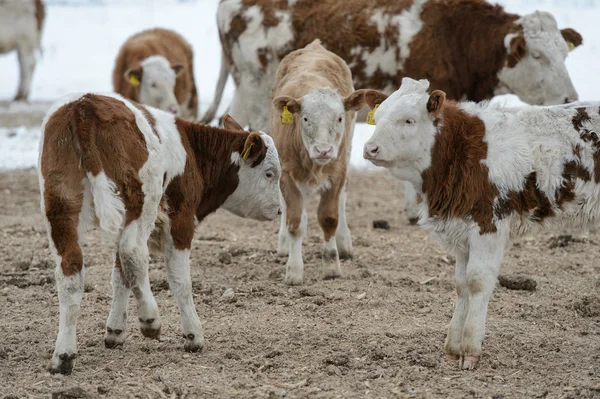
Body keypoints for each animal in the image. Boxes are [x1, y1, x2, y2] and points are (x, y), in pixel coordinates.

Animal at [38, 93, 282, 376]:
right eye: (269, 173)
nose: (279, 209)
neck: (192, 151)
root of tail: (84, 106)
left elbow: (120, 276)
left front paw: (115, 331)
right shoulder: (181, 220)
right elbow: (179, 279)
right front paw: (193, 335)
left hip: (60, 204)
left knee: (72, 270)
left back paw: (64, 355)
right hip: (141, 199)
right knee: (132, 252)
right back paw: (150, 319)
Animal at [272, 39, 366, 284]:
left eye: (340, 118)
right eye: (305, 118)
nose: (323, 150)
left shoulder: (337, 171)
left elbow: (329, 218)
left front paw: (332, 264)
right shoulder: (287, 173)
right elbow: (295, 222)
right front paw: (294, 270)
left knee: (343, 196)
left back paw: (344, 243)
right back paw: (283, 244)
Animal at [360, 77, 600, 372]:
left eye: (408, 120)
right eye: (378, 117)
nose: (370, 149)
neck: (461, 151)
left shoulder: (489, 224)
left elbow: (477, 281)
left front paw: (471, 348)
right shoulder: (462, 231)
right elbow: (461, 284)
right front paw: (453, 347)